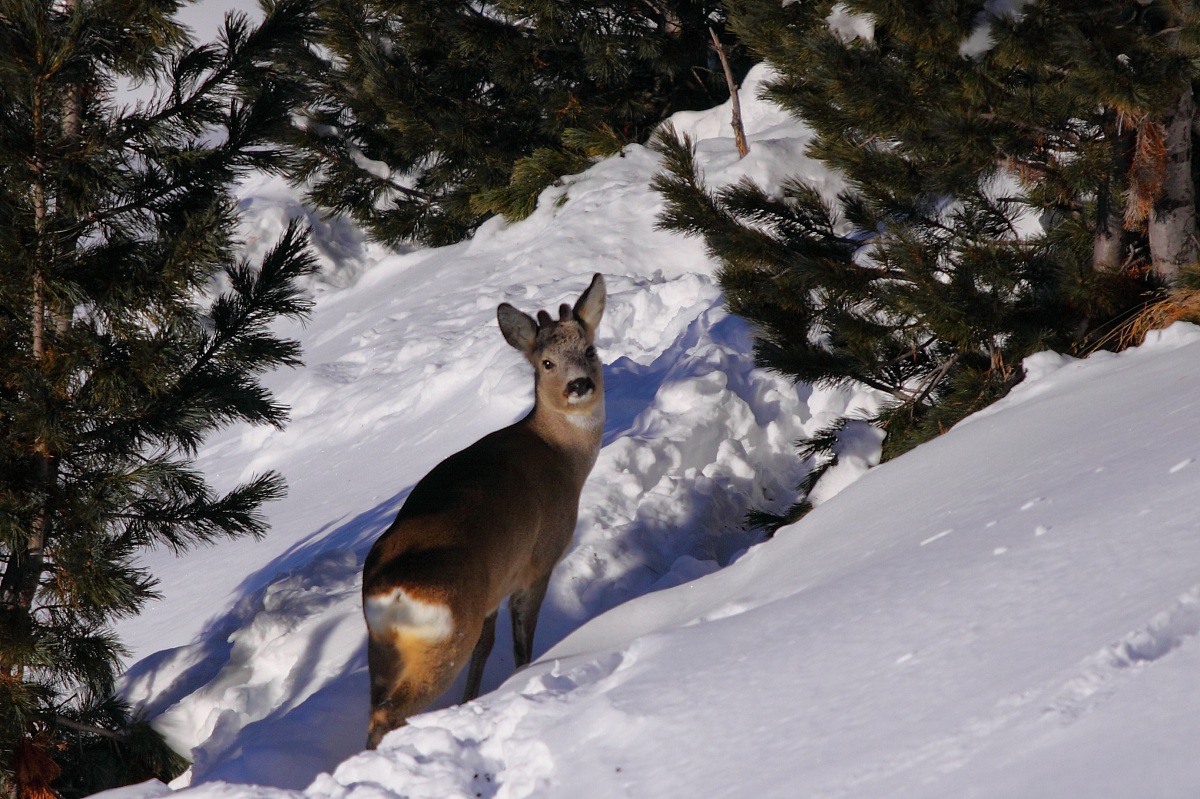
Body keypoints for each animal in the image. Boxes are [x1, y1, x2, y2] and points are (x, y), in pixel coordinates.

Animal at [361, 273, 606, 749]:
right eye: (546, 363)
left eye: (589, 349)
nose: (580, 386)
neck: (563, 457)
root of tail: (391, 595)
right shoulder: (537, 562)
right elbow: (521, 644)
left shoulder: (496, 586)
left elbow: (487, 647)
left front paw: (472, 701)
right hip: (446, 635)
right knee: (386, 713)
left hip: (382, 649)